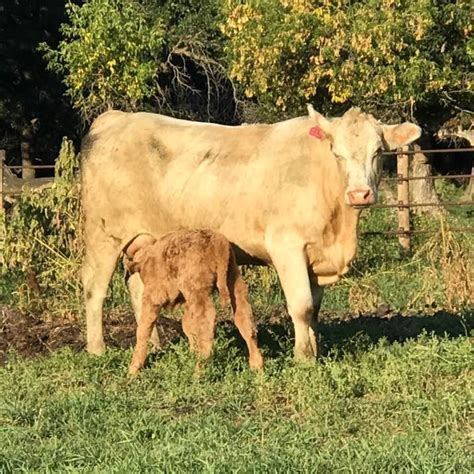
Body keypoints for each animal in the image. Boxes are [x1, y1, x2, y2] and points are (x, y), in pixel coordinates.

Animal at [81, 104, 422, 360]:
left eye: (378, 152)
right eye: (336, 152)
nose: (359, 194)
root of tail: (117, 118)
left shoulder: (316, 254)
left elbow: (314, 309)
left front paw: (315, 349)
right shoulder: (287, 245)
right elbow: (301, 305)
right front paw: (303, 357)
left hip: (144, 239)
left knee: (139, 288)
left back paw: (152, 345)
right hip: (103, 235)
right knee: (94, 289)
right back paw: (97, 349)